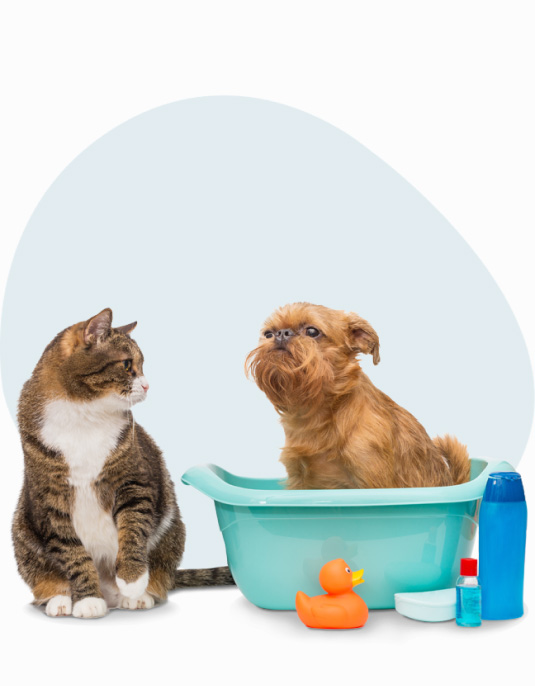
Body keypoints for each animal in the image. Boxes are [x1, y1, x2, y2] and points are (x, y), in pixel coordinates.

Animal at [12, 310, 233, 620]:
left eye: (141, 365)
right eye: (128, 365)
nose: (147, 385)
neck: (84, 415)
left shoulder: (133, 482)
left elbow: (133, 526)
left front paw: (132, 577)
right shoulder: (50, 500)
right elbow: (72, 553)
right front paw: (87, 599)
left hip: (171, 530)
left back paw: (138, 596)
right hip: (22, 533)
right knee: (46, 579)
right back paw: (61, 599)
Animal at [245, 304, 472, 492]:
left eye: (312, 331)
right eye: (267, 333)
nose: (281, 334)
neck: (316, 412)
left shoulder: (372, 481)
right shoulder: (300, 481)